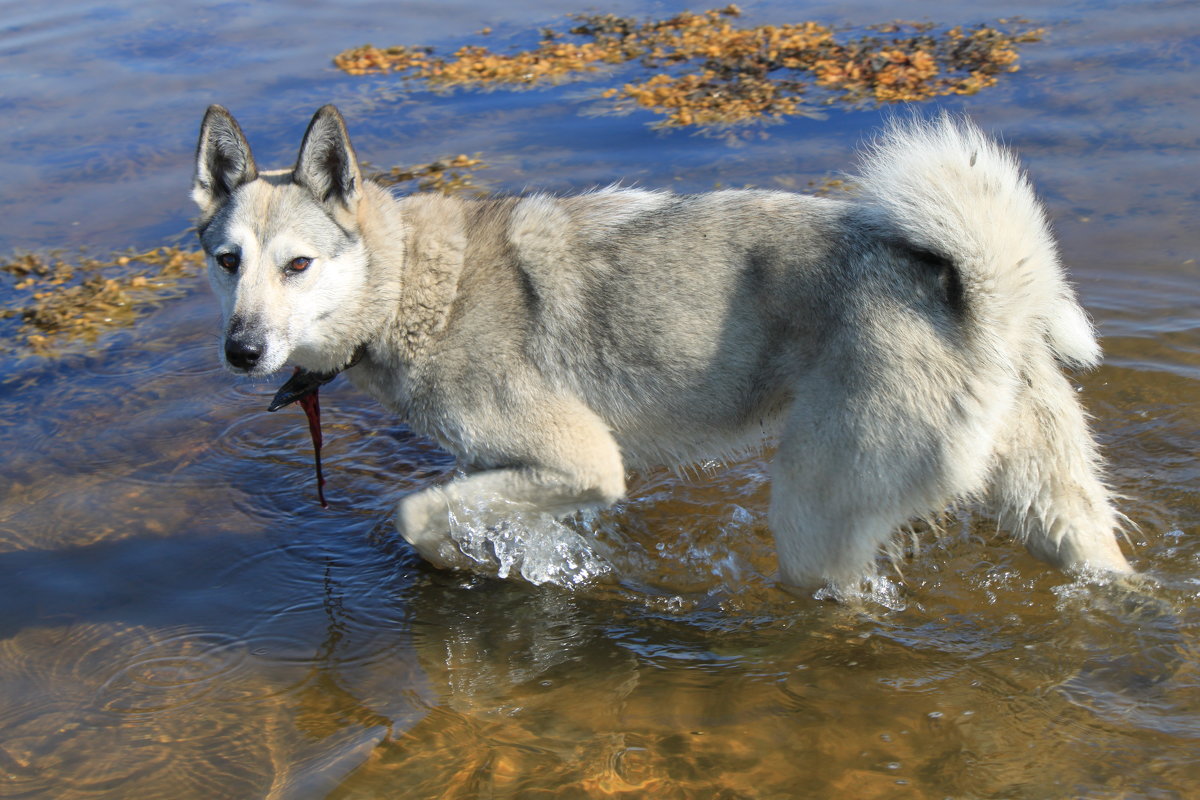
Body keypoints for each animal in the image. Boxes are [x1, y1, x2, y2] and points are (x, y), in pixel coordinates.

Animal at [192, 104, 1128, 587]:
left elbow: (416, 512)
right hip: (1056, 511)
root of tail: (982, 304)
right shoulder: (504, 465)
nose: (241, 351)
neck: (417, 283)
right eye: (227, 262)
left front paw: (471, 564)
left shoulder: (586, 459)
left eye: (299, 264)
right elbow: (467, 504)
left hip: (810, 516)